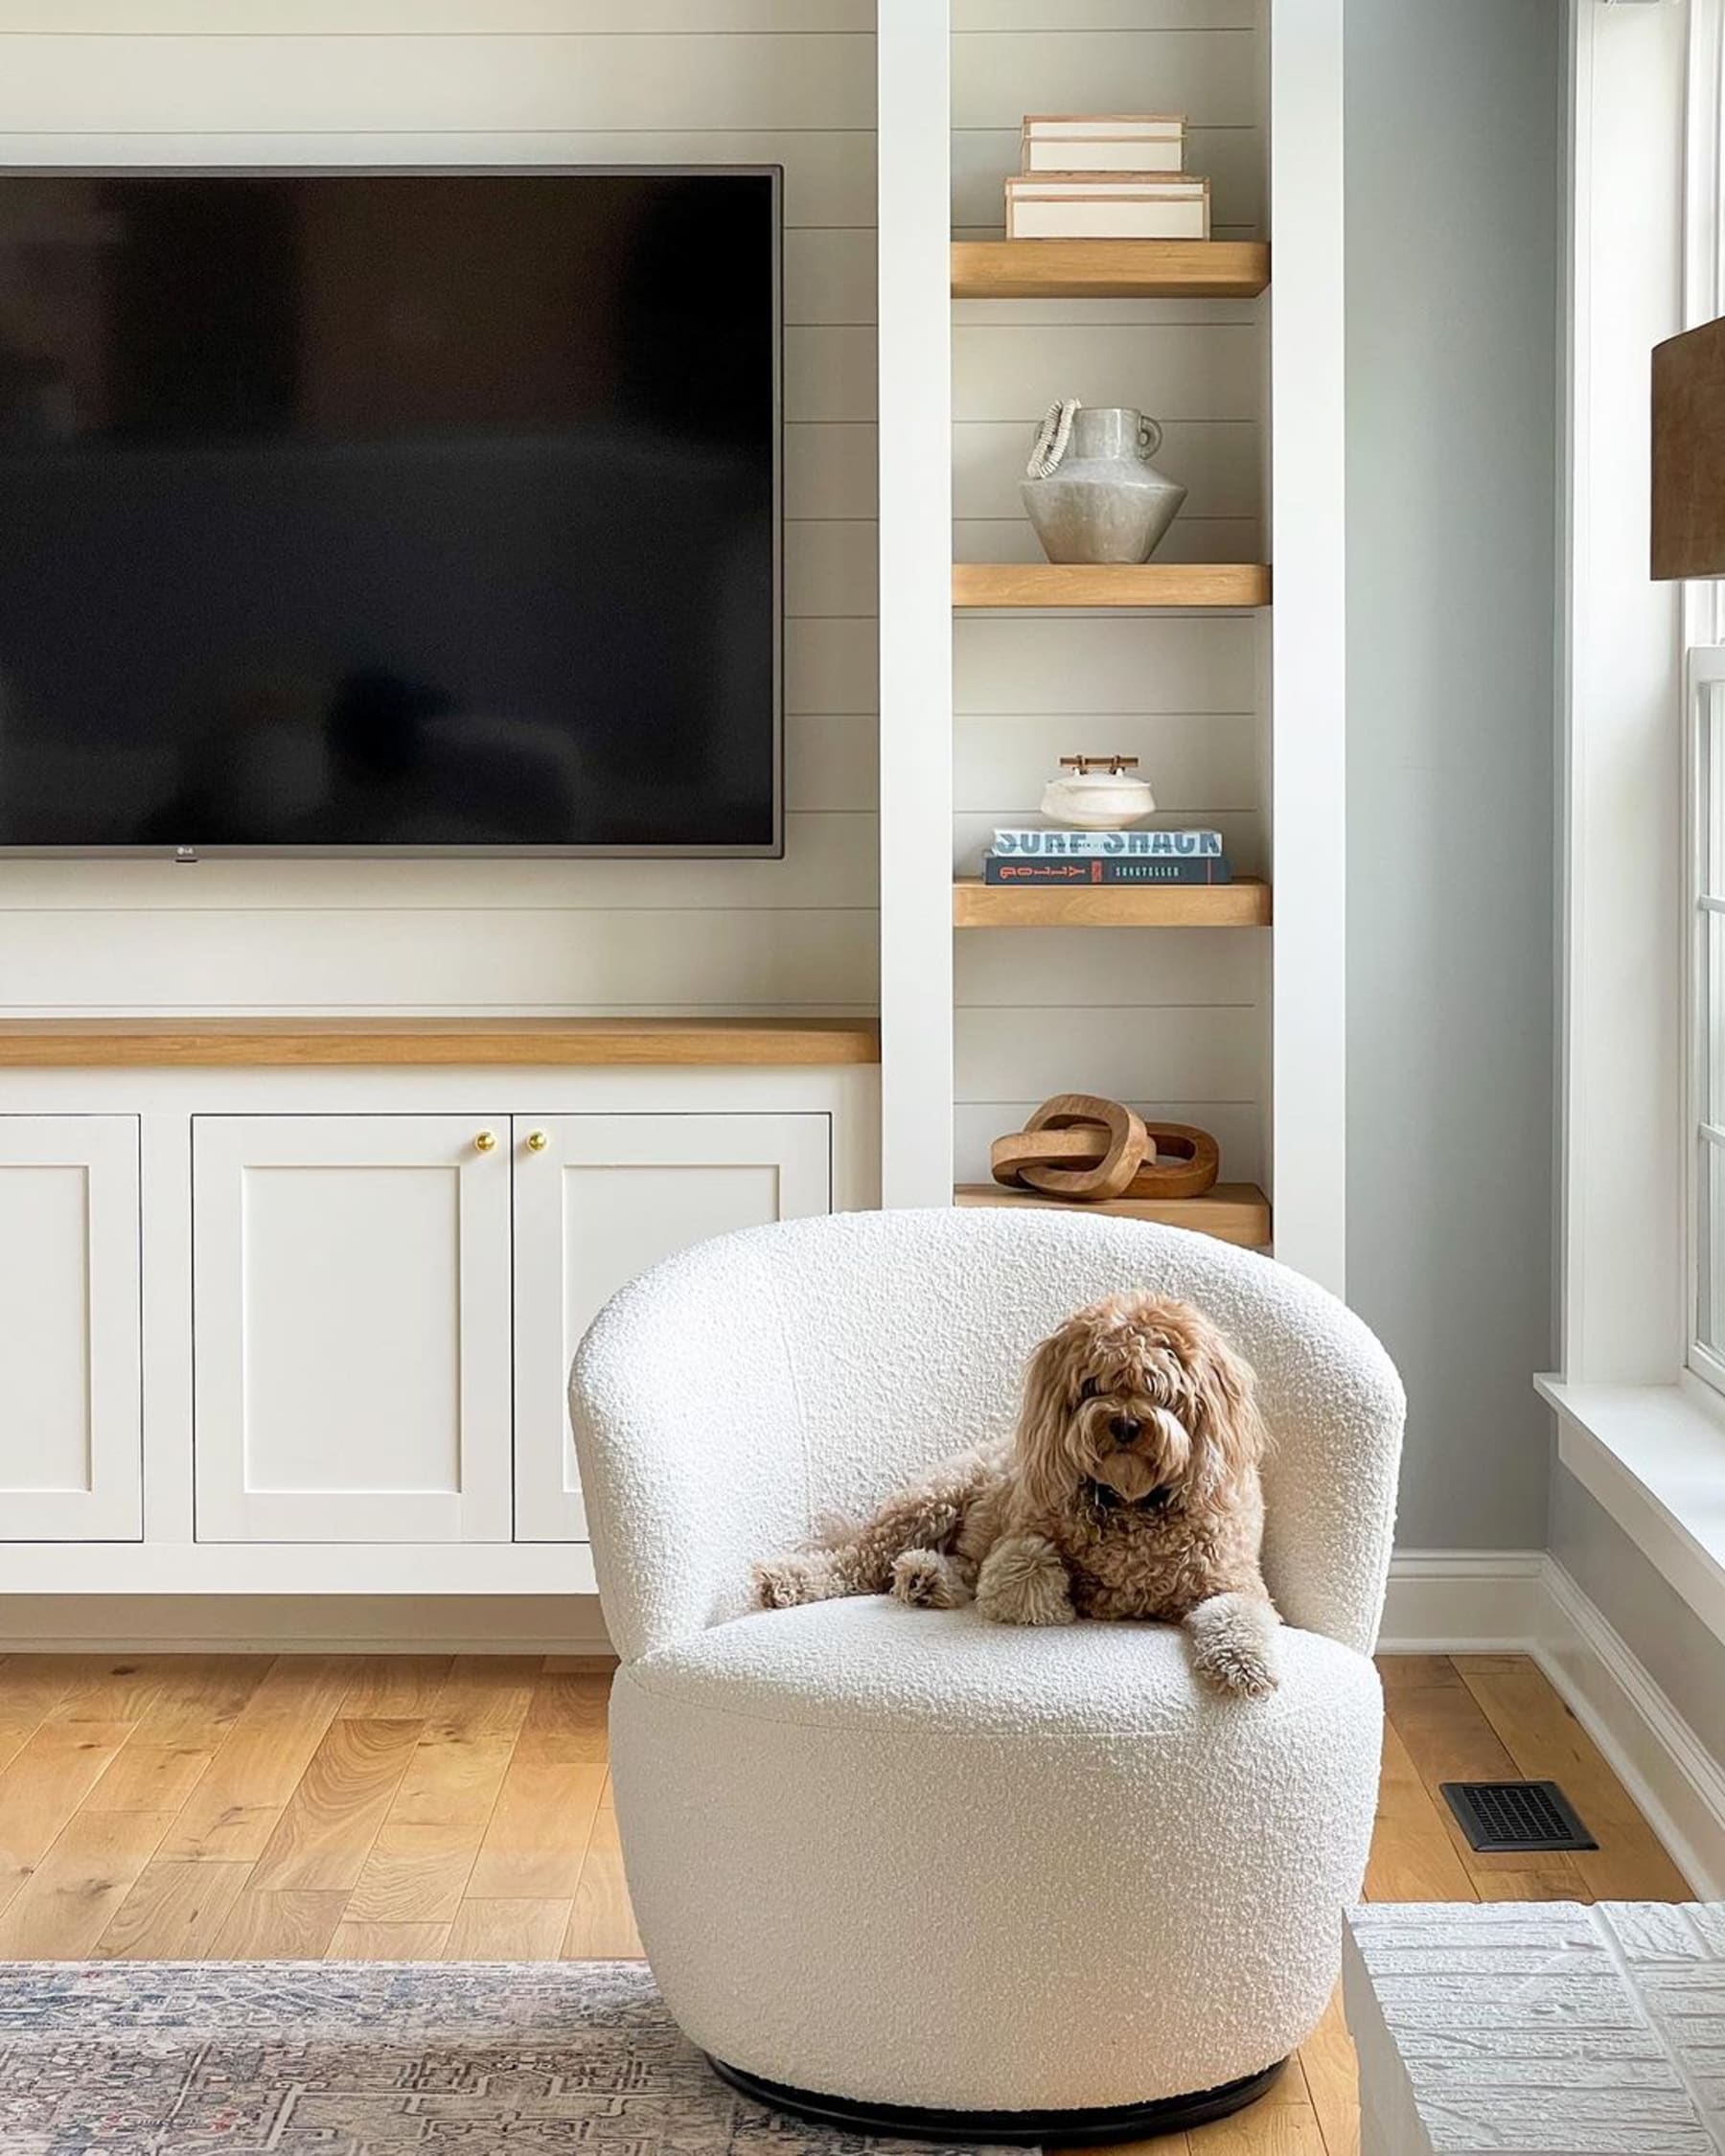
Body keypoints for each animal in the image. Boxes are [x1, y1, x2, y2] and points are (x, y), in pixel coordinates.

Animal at [754, 1294, 1276, 1699]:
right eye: (1093, 1384)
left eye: (1158, 1387)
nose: (1125, 1425)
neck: (1131, 1500)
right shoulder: (1018, 1544)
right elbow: (1026, 1572)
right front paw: (1067, 1602)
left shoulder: (1234, 1581)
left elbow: (1240, 1617)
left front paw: (1244, 1665)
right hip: (931, 1500)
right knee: (857, 1561)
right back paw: (791, 1580)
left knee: (944, 1567)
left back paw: (925, 1578)